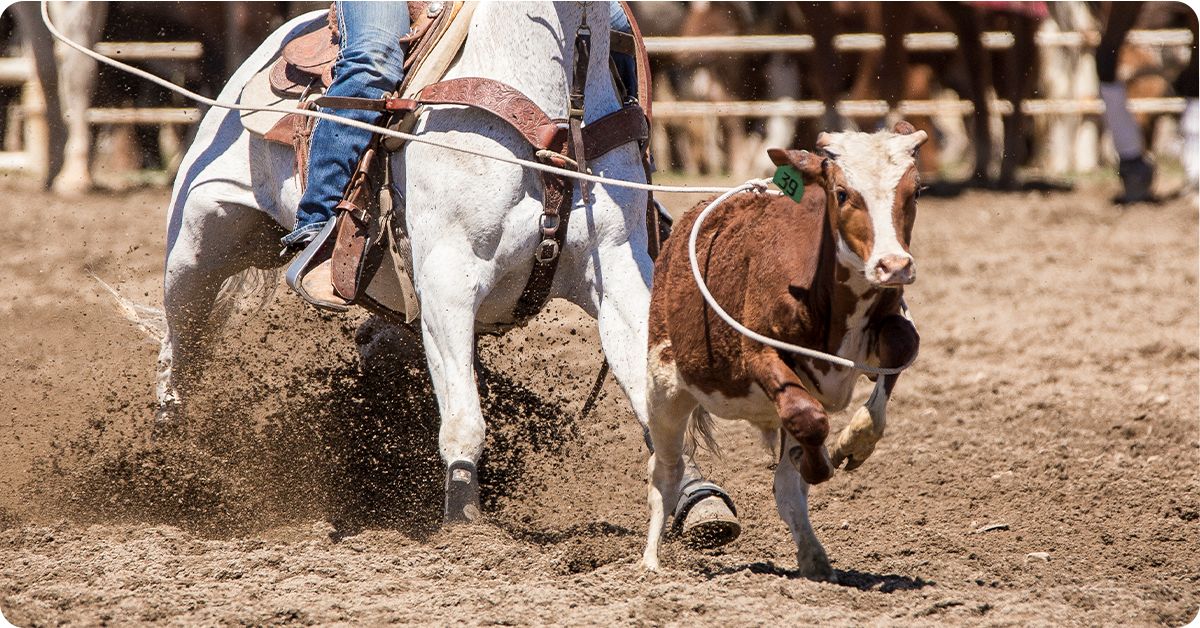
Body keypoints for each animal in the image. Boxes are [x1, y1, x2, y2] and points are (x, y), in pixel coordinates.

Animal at [156, 2, 667, 525]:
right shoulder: (449, 280)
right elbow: (464, 417)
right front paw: (464, 517)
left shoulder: (617, 270)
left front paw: (688, 500)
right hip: (198, 240)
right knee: (181, 344)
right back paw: (171, 460)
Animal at [643, 123, 921, 581]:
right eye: (842, 192)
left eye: (914, 191)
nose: (894, 266)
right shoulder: (758, 353)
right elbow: (808, 419)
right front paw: (821, 459)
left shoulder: (883, 329)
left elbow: (902, 348)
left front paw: (853, 441)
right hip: (665, 386)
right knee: (665, 473)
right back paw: (649, 562)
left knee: (785, 487)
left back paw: (814, 558)